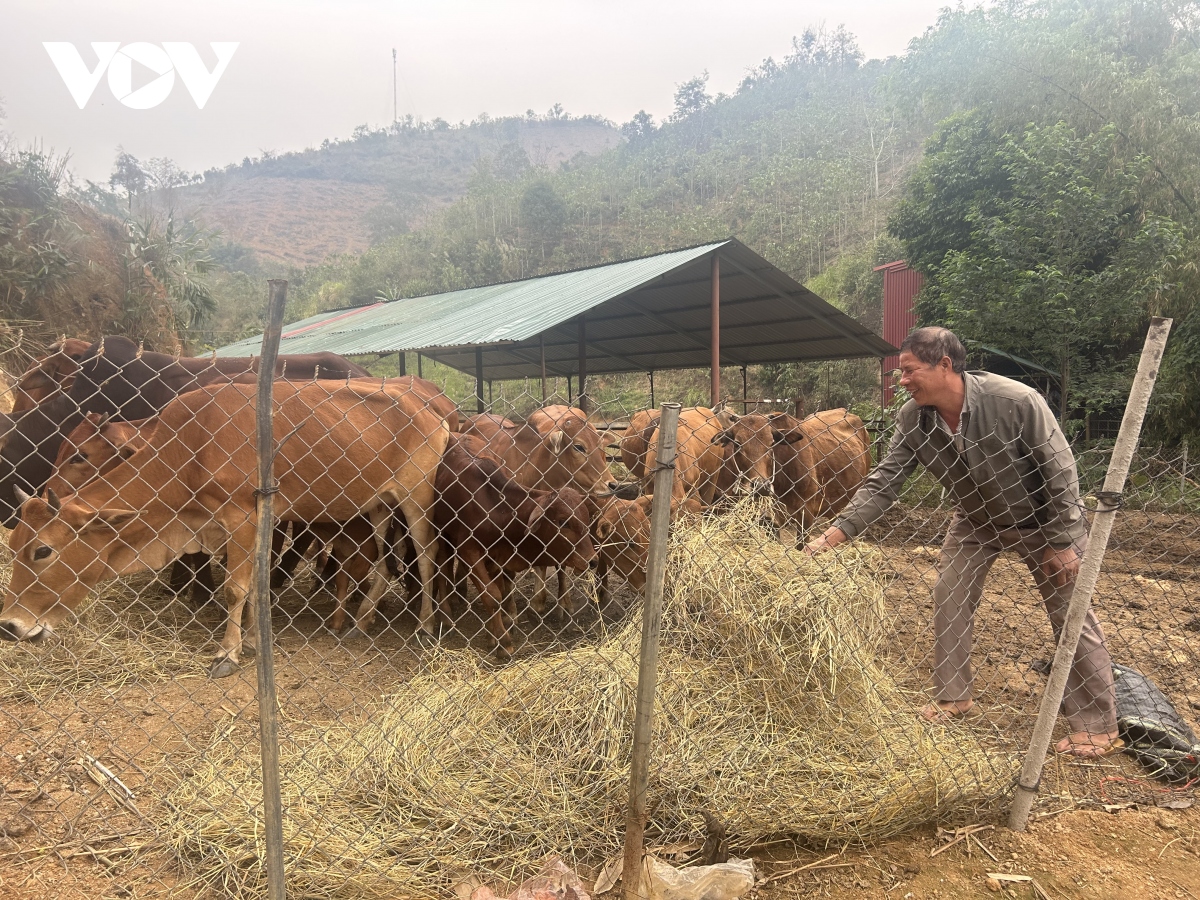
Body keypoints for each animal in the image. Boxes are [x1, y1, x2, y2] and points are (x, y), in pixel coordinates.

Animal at [1, 379, 451, 676]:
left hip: (416, 497)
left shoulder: (241, 519)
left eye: (42, 550)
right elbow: (254, 586)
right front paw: (252, 641)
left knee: (426, 554)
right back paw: (362, 621)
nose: (10, 626)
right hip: (379, 504)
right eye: (14, 545)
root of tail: (431, 412)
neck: (190, 447)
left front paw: (227, 654)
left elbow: (235, 588)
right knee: (383, 561)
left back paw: (426, 626)